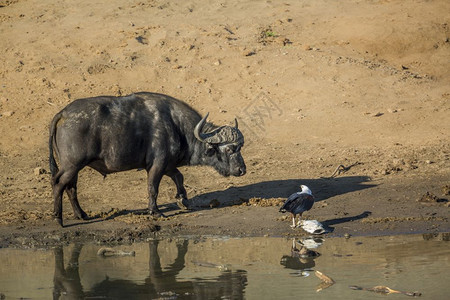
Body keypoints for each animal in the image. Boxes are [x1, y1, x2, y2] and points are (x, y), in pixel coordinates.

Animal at [49, 91, 246, 225]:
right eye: (230, 149)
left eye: (240, 147)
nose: (242, 170)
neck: (176, 126)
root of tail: (64, 113)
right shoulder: (157, 165)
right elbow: (153, 188)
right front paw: (155, 211)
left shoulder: (167, 165)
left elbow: (179, 177)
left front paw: (182, 199)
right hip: (72, 165)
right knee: (58, 183)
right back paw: (58, 218)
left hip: (74, 167)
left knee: (71, 188)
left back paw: (81, 214)